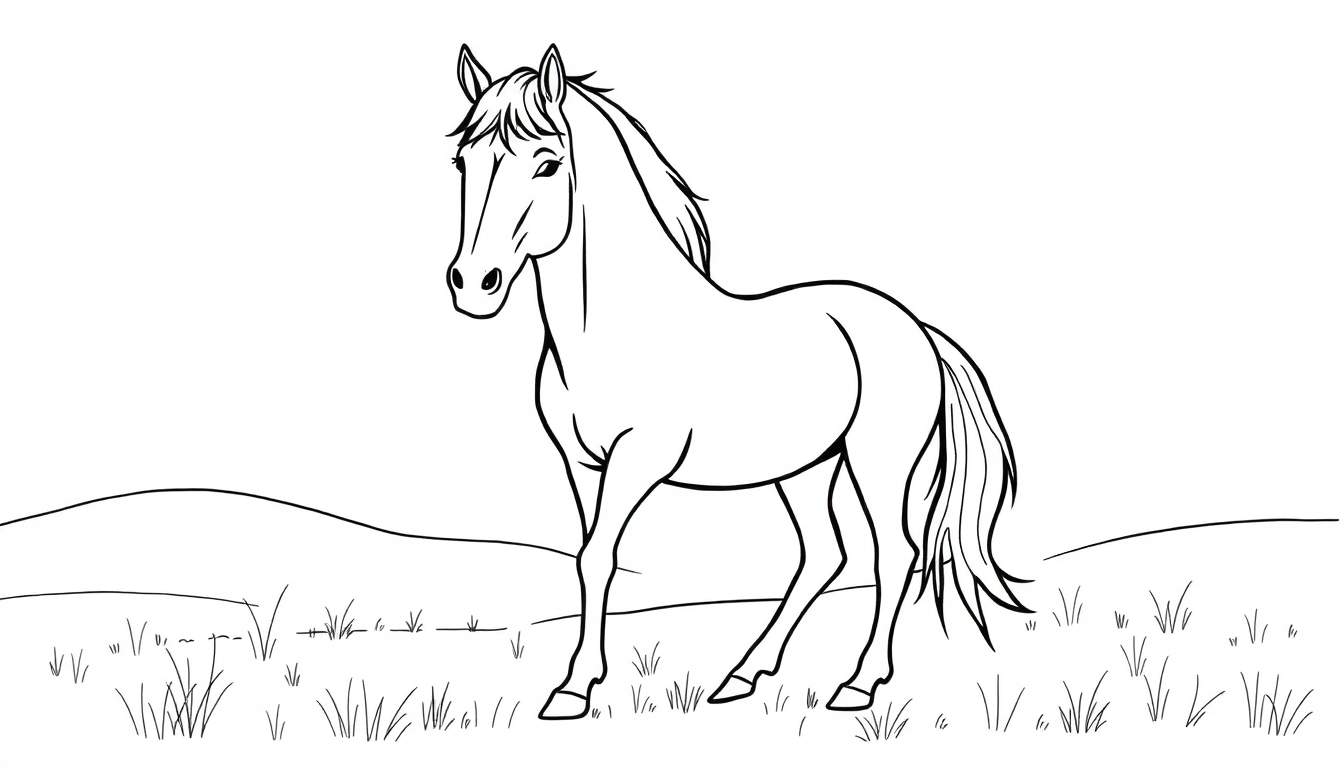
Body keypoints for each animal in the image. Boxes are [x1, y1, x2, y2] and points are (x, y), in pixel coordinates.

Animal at [446, 44, 1027, 719]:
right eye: (463, 161)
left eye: (547, 163)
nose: (473, 283)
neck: (612, 328)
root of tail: (914, 327)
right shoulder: (581, 463)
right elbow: (589, 558)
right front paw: (576, 683)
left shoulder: (637, 460)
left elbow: (600, 556)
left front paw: (573, 688)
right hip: (807, 468)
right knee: (825, 554)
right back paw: (742, 675)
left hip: (878, 460)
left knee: (895, 552)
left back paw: (857, 684)